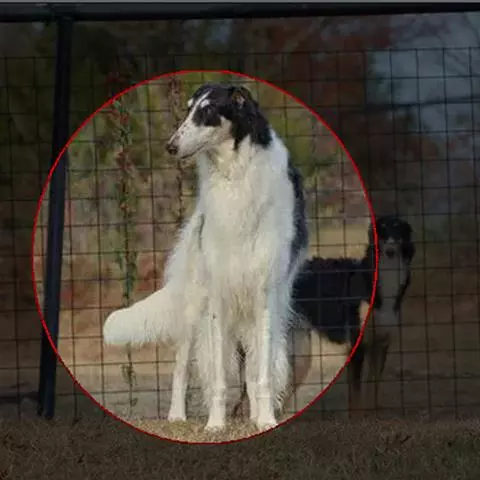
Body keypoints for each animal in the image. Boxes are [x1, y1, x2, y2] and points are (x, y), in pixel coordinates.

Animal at [103, 82, 308, 431]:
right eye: (188, 110)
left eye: (208, 111)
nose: (171, 146)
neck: (235, 174)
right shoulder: (218, 295)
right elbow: (219, 379)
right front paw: (215, 424)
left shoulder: (264, 293)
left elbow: (262, 374)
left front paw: (264, 420)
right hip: (192, 306)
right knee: (181, 368)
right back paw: (176, 416)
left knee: (252, 368)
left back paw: (254, 414)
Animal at [232, 214, 415, 418]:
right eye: (381, 229)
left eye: (398, 229)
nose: (390, 250)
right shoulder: (357, 347)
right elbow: (356, 397)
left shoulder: (381, 344)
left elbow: (372, 388)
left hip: (298, 355)